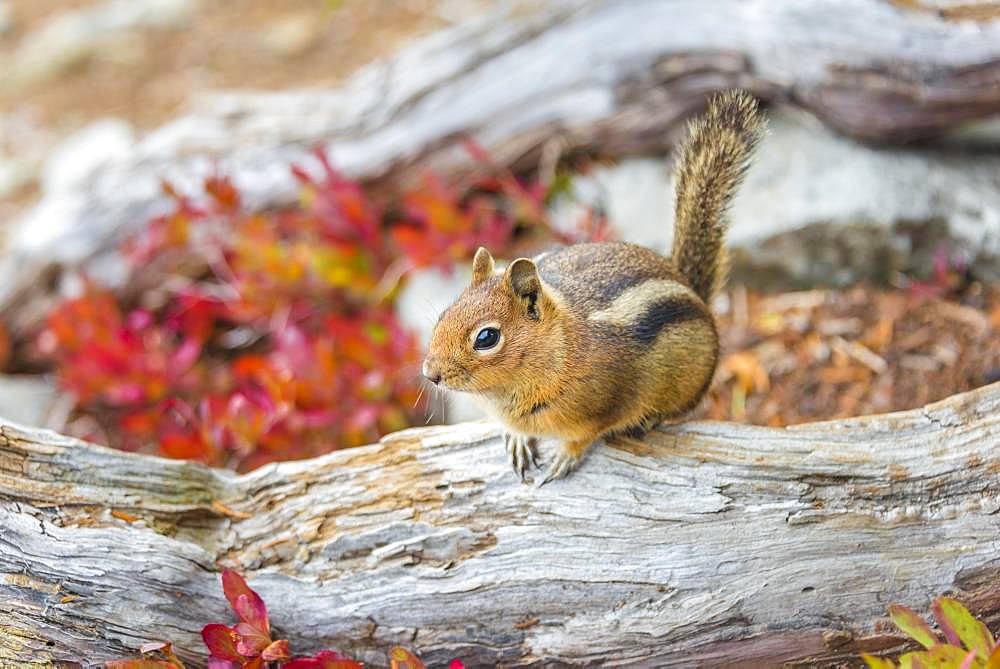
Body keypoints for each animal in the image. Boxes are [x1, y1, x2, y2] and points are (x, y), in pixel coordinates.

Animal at [418, 90, 760, 486]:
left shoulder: (606, 404)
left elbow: (588, 433)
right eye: (442, 315)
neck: (561, 346)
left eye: (486, 338)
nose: (430, 374)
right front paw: (518, 439)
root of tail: (694, 293)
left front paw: (565, 456)